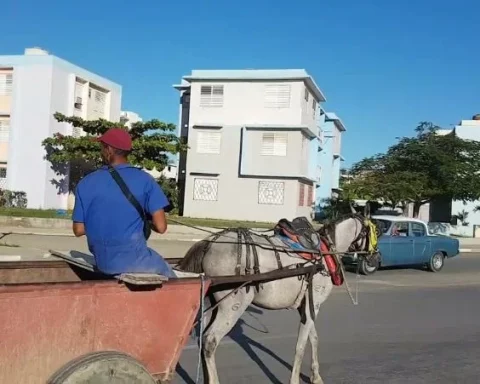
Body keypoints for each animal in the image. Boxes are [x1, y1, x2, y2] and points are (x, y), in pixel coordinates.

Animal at [176, 214, 376, 382]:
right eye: (375, 231)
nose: (375, 257)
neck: (325, 255)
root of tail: (210, 242)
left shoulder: (307, 305)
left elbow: (313, 338)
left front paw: (316, 377)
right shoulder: (315, 303)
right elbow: (300, 345)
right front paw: (295, 380)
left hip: (214, 301)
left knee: (202, 339)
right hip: (232, 304)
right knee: (210, 340)